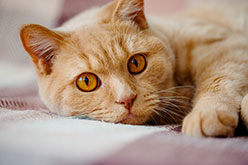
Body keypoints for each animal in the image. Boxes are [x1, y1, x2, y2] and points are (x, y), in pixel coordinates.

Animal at [19, 0, 248, 137]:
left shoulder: (226, 46)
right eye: (87, 82)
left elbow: (221, 77)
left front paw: (208, 112)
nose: (126, 99)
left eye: (136, 63)